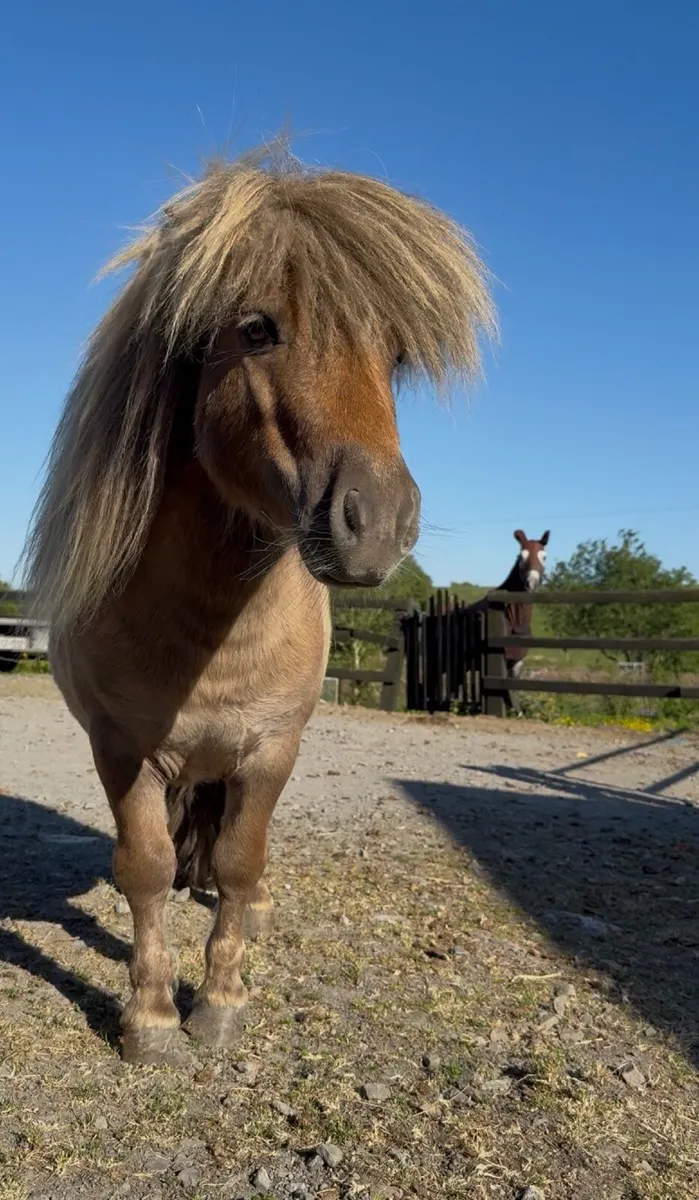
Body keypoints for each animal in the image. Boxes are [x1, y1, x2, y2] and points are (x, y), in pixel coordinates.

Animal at [22, 144, 495, 1064]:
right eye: (257, 329)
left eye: (393, 357)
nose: (377, 524)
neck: (212, 630)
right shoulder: (122, 751)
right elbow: (145, 868)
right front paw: (151, 1018)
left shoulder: (271, 748)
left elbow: (241, 862)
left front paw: (219, 1002)